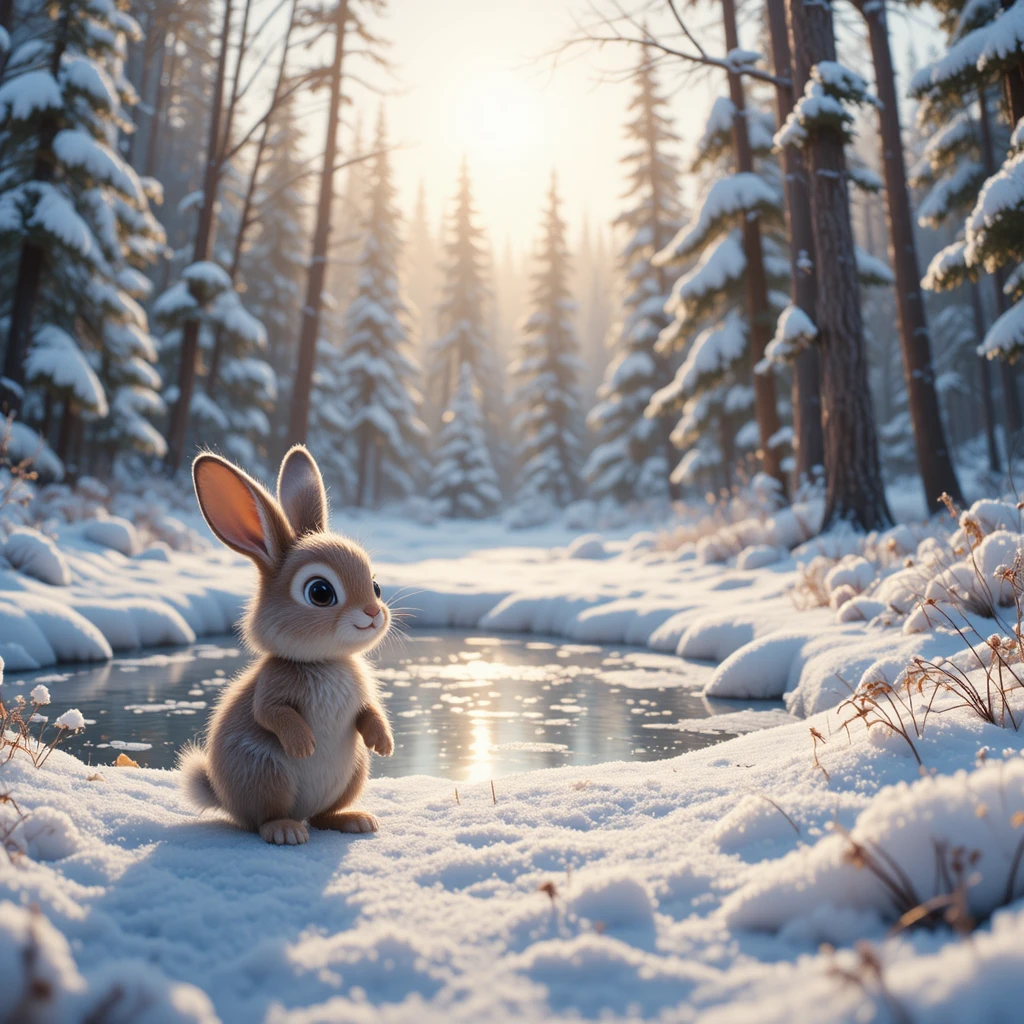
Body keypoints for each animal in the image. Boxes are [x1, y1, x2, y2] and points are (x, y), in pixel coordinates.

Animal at [178, 445, 394, 846]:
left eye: (376, 586)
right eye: (320, 592)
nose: (373, 613)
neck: (324, 661)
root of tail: (224, 799)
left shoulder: (363, 697)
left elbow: (369, 712)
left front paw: (384, 743)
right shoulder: (272, 688)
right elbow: (271, 713)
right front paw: (303, 745)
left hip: (354, 771)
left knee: (323, 815)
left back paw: (353, 820)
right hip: (266, 772)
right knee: (262, 820)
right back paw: (285, 831)